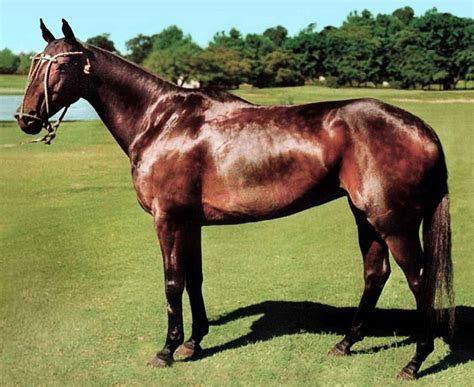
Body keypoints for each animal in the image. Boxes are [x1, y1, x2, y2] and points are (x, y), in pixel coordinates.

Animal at [16, 19, 454, 380]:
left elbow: (172, 281)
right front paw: (194, 342)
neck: (162, 121)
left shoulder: (167, 219)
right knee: (375, 273)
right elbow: (193, 278)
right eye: (35, 64)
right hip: (367, 217)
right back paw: (346, 343)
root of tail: (422, 128)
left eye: (61, 67)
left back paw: (416, 360)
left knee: (418, 278)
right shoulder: (189, 222)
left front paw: (167, 350)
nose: (26, 118)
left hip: (394, 224)